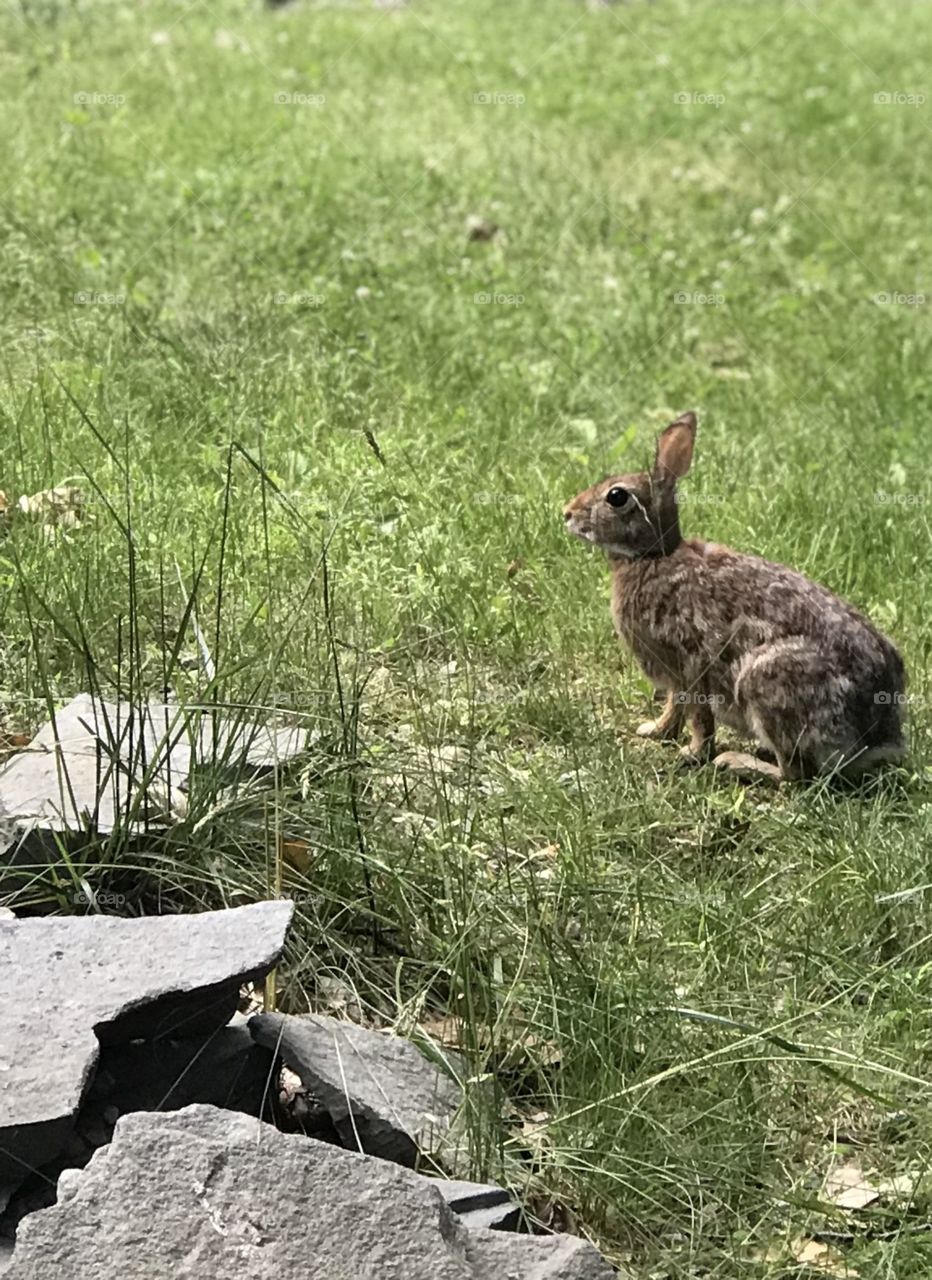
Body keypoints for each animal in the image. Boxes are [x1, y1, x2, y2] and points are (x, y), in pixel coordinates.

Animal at [563, 409, 906, 778]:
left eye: (616, 496)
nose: (567, 512)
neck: (652, 556)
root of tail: (876, 737)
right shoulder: (675, 676)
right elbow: (674, 707)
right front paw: (655, 731)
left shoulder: (690, 662)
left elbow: (698, 715)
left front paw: (692, 753)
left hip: (767, 684)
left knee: (794, 774)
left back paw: (737, 762)